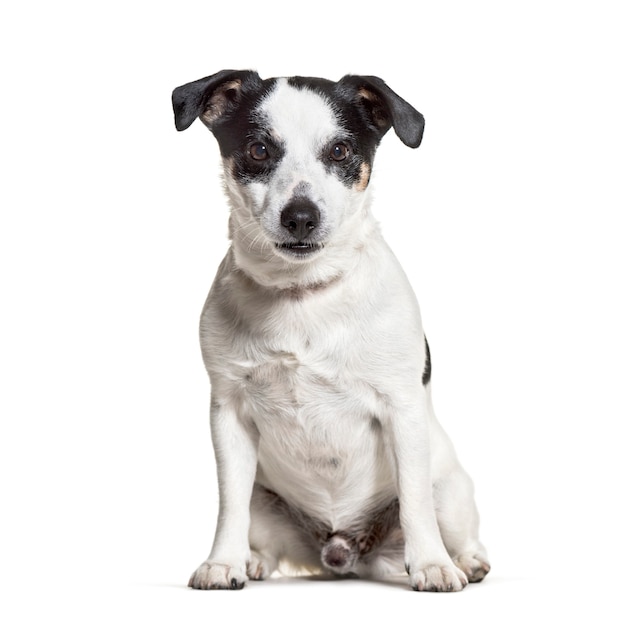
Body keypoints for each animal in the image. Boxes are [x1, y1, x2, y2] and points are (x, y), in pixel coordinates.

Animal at [171, 69, 490, 588]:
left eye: (339, 151)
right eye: (259, 149)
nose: (301, 216)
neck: (302, 294)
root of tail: (342, 549)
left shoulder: (402, 410)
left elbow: (415, 502)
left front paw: (432, 564)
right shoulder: (229, 413)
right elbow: (229, 505)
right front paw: (224, 561)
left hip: (450, 488)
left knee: (446, 519)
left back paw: (464, 560)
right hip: (267, 499)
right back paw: (254, 560)